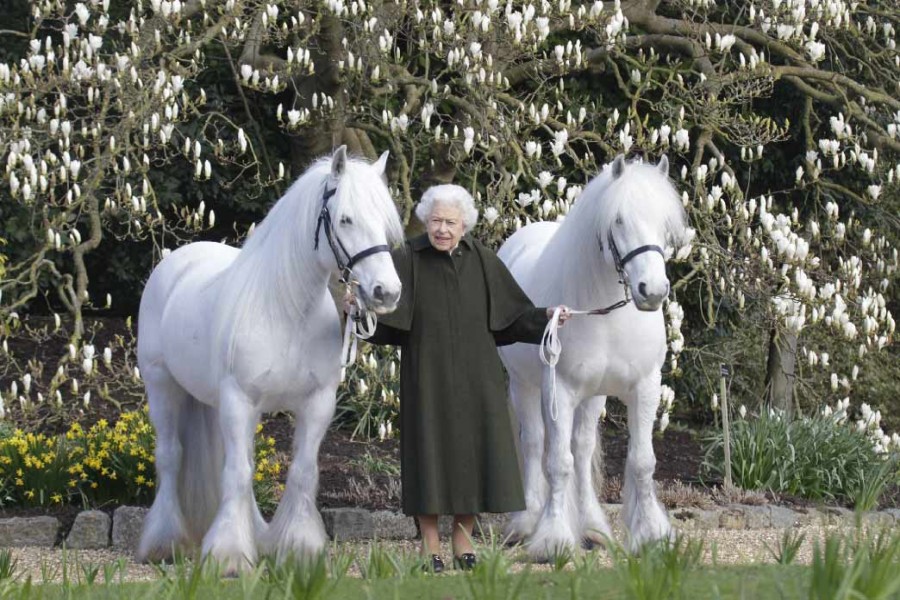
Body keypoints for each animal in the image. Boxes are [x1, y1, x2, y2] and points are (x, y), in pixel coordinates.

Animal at [135, 145, 402, 572]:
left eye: (384, 221)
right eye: (345, 218)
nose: (386, 292)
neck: (286, 311)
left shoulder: (316, 404)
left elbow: (301, 472)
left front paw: (298, 548)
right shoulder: (239, 399)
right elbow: (237, 474)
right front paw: (228, 556)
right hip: (163, 387)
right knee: (171, 457)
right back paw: (165, 542)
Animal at [500, 154, 688, 556]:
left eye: (664, 222)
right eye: (618, 220)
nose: (652, 290)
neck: (606, 313)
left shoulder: (645, 387)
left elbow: (641, 461)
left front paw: (651, 534)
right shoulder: (559, 389)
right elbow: (558, 463)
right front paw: (553, 538)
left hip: (592, 396)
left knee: (583, 449)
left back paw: (591, 527)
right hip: (524, 386)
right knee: (534, 442)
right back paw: (527, 522)